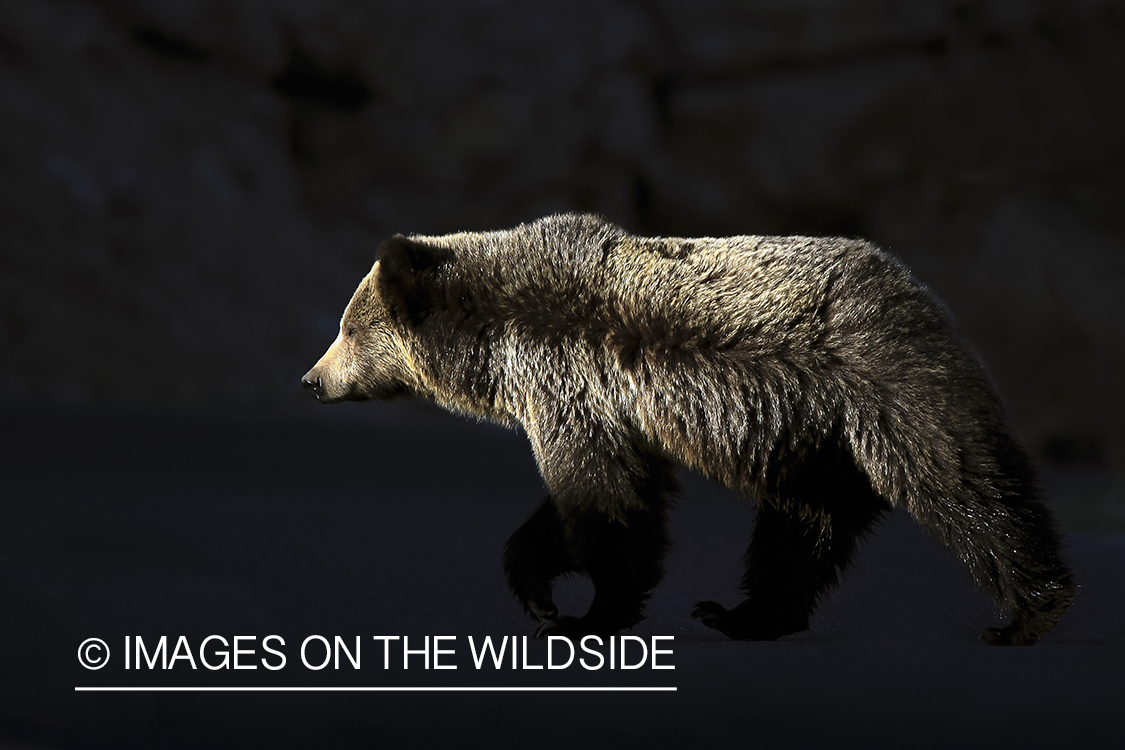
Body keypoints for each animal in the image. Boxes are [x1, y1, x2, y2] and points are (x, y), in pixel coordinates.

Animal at [301, 213, 1075, 646]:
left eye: (346, 327)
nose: (311, 378)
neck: (498, 334)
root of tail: (921, 291)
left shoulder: (572, 385)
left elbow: (606, 506)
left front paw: (588, 615)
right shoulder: (602, 406)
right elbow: (593, 500)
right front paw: (538, 589)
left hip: (882, 387)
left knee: (968, 489)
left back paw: (1026, 614)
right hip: (816, 443)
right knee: (802, 529)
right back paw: (744, 614)